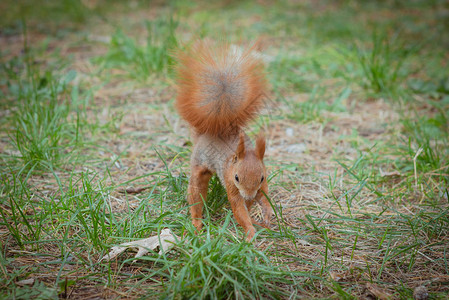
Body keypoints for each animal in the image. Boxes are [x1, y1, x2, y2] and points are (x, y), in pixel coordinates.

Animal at [173, 40, 272, 241]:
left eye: (262, 177)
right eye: (236, 177)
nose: (248, 195)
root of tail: (207, 134)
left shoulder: (261, 185)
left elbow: (264, 197)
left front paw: (266, 214)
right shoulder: (231, 184)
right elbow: (238, 208)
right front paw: (249, 232)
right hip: (199, 167)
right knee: (196, 195)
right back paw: (196, 223)